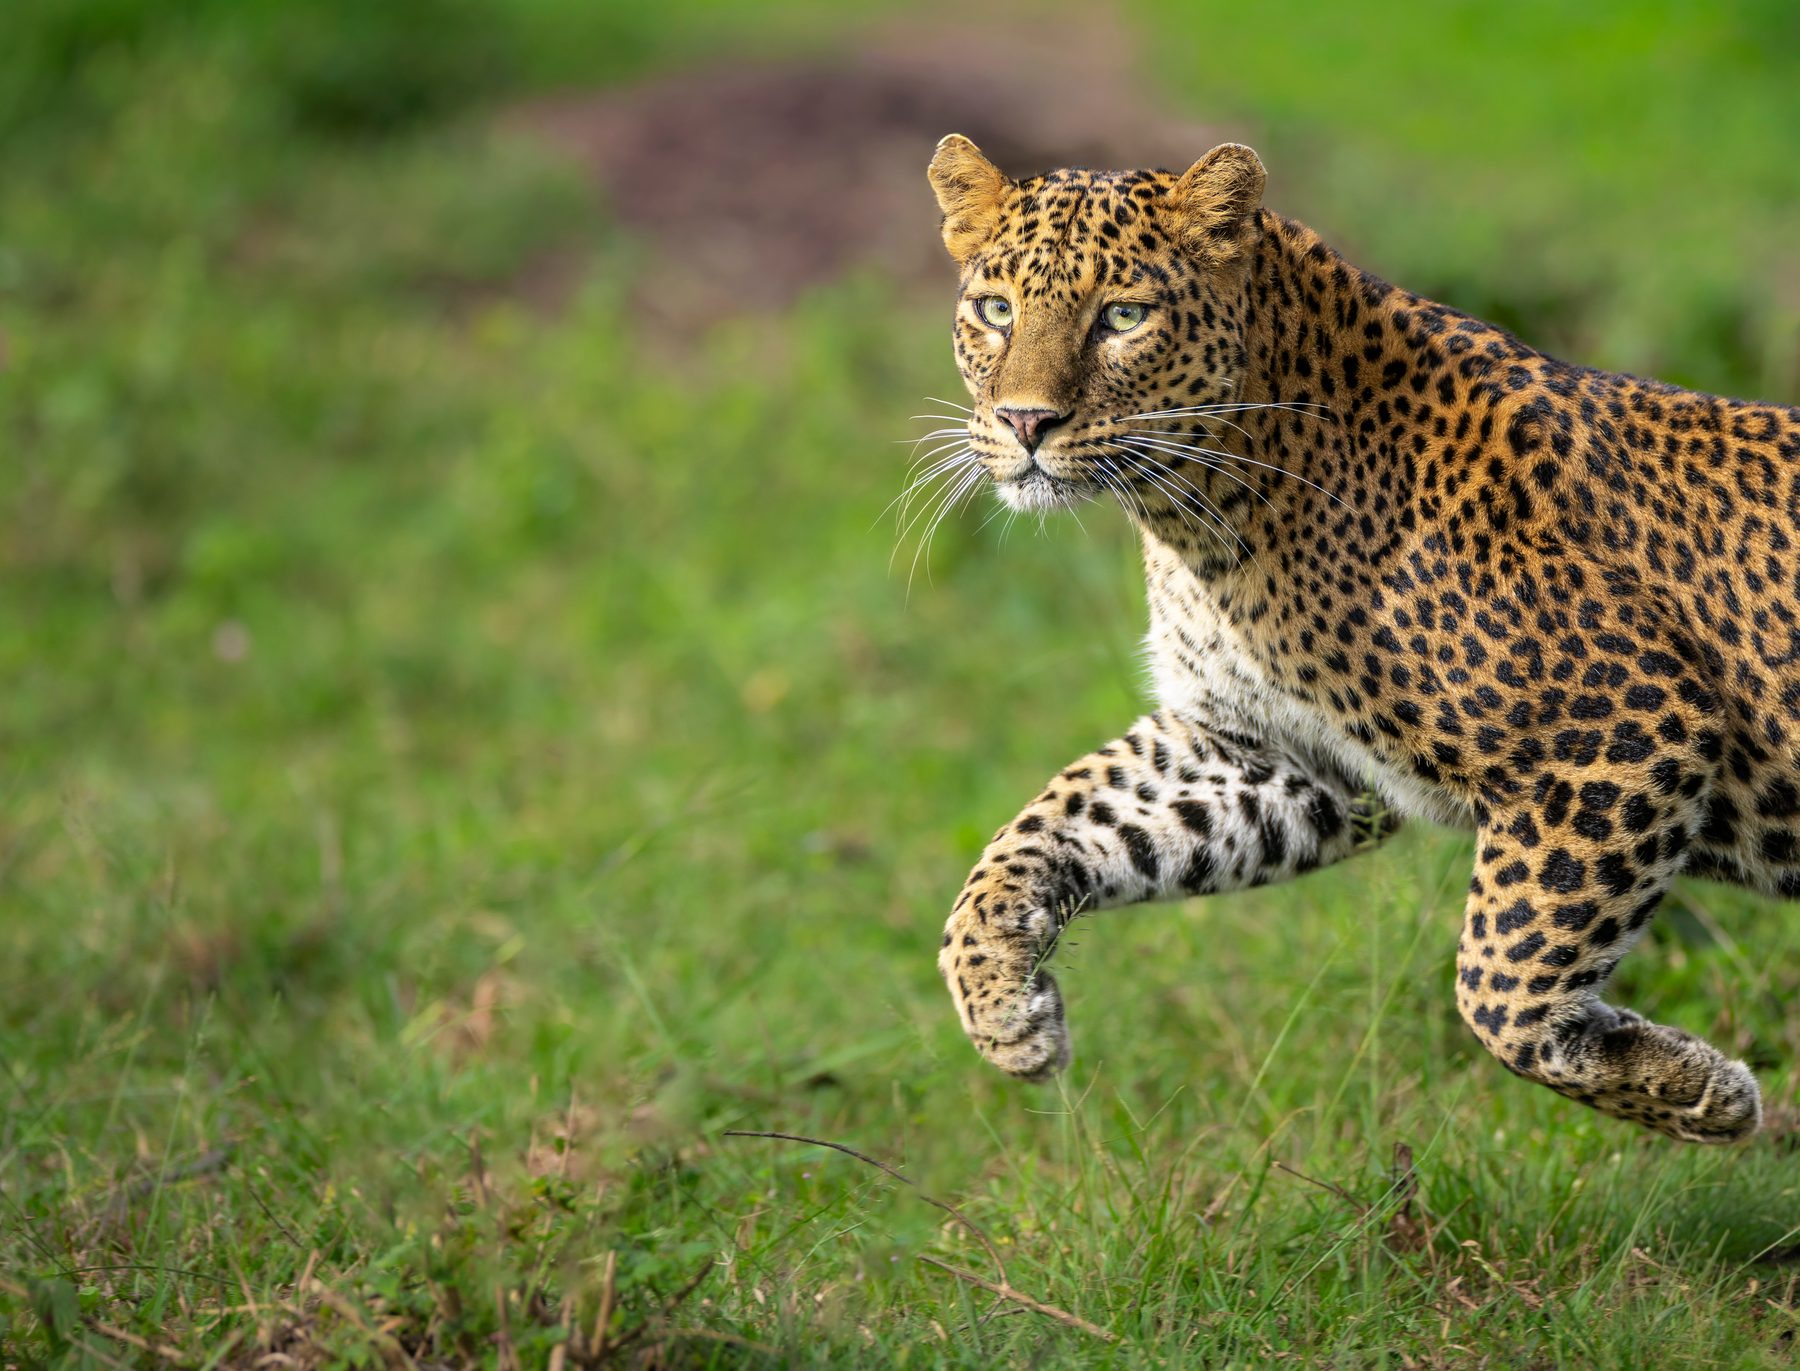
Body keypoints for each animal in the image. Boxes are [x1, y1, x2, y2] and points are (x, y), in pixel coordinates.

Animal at [925, 133, 1800, 1144]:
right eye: (995, 310)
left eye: (1123, 316)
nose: (1025, 421)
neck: (1206, 516)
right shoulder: (1268, 749)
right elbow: (1046, 824)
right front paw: (1003, 1007)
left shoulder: (1628, 724)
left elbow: (1499, 979)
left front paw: (1699, 1092)